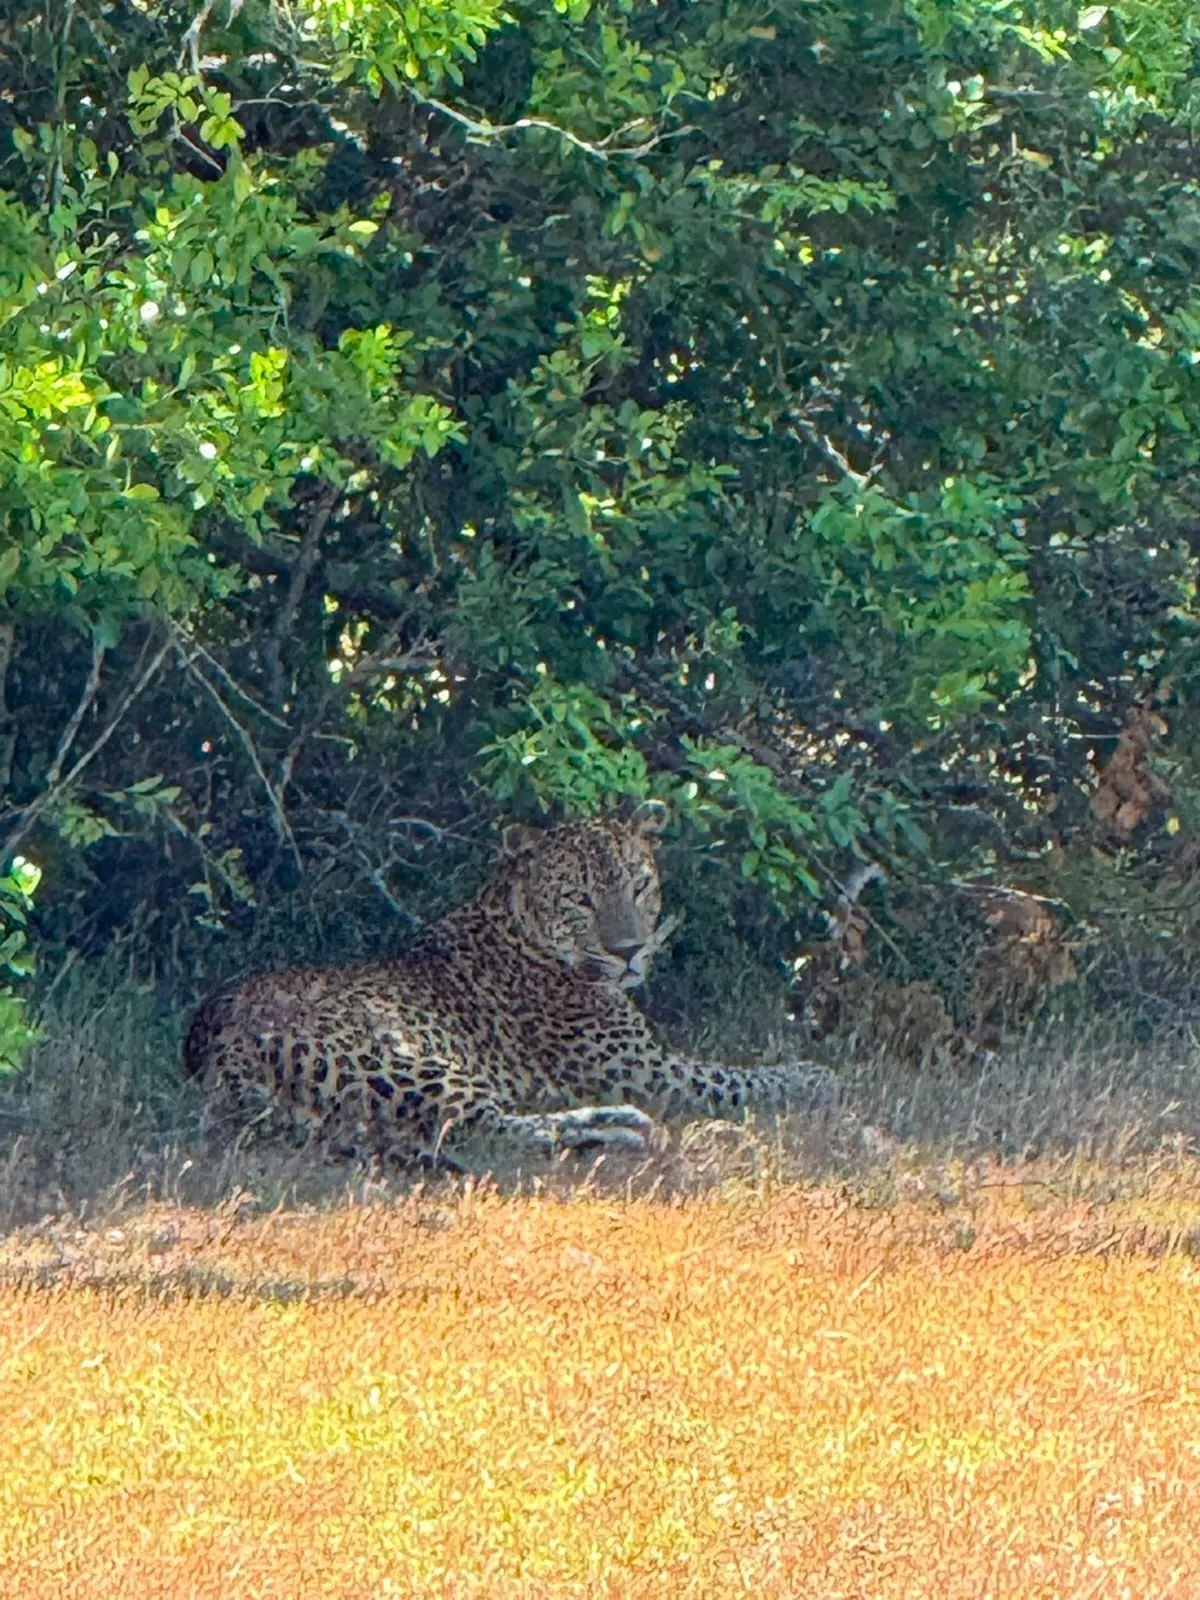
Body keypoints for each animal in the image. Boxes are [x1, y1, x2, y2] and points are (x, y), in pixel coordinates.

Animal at [183, 801, 837, 1172]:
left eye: (638, 885)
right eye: (581, 898)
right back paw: (627, 1127)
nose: (627, 952)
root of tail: (218, 1051)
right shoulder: (647, 1069)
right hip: (402, 1059)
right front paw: (814, 1076)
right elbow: (736, 1078)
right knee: (498, 1130)